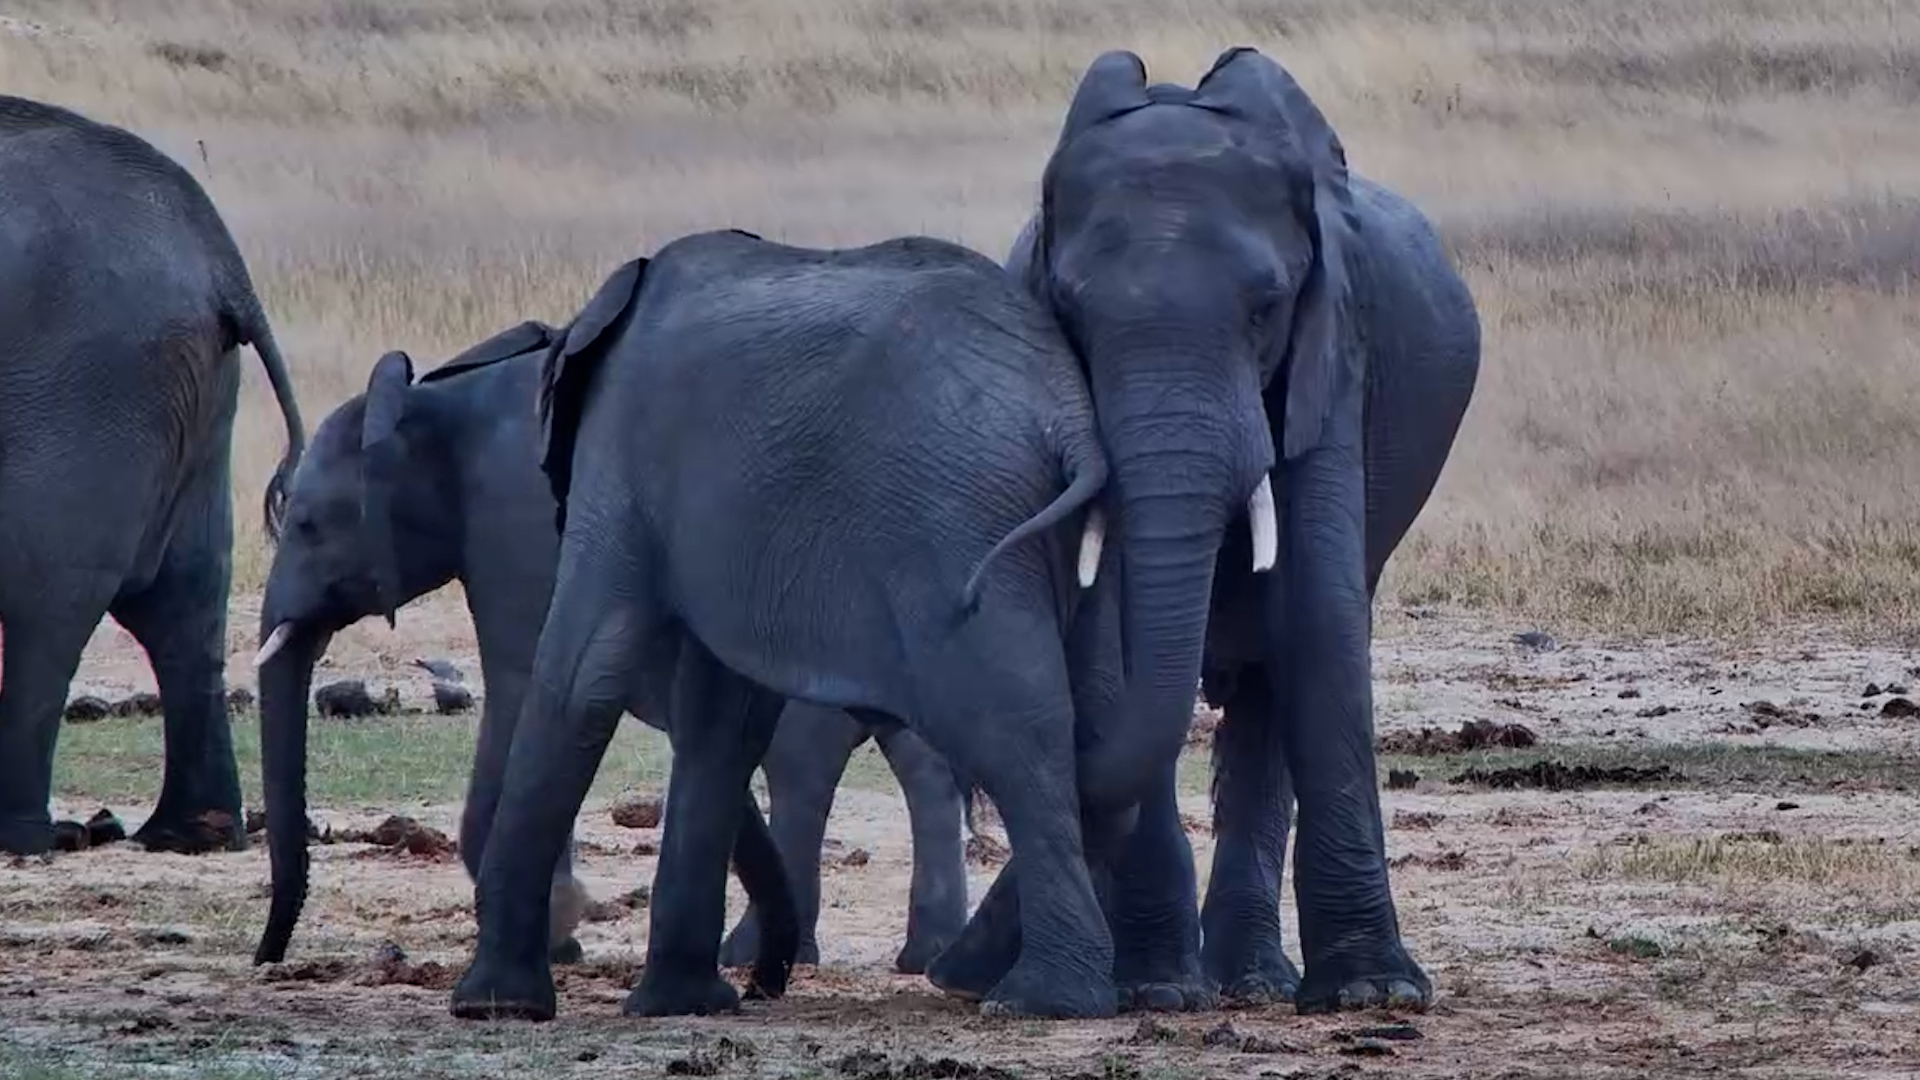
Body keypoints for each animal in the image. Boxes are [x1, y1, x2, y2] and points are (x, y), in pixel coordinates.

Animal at [0, 95, 305, 855]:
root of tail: (221, 262)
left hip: (94, 383)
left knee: (46, 597)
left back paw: (19, 837)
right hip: (188, 389)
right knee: (184, 601)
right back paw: (193, 833)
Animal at [247, 319, 968, 975]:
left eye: (307, 524)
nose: (268, 958)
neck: (439, 402)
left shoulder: (518, 530)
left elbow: (519, 688)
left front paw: (558, 928)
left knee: (804, 757)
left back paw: (756, 956)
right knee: (918, 761)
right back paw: (925, 958)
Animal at [450, 229, 1117, 1022]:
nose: (765, 984)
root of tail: (1068, 417)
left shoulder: (620, 452)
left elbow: (584, 674)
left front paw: (491, 1006)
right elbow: (723, 721)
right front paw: (686, 1004)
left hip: (953, 525)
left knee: (1004, 726)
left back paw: (1041, 999)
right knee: (1045, 727)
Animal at [925, 47, 1480, 1015]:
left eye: (1266, 308)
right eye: (1070, 310)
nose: (941, 973)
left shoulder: (1333, 357)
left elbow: (1318, 616)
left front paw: (1374, 995)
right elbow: (1112, 639)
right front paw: (1154, 992)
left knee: (1266, 691)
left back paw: (1253, 984)